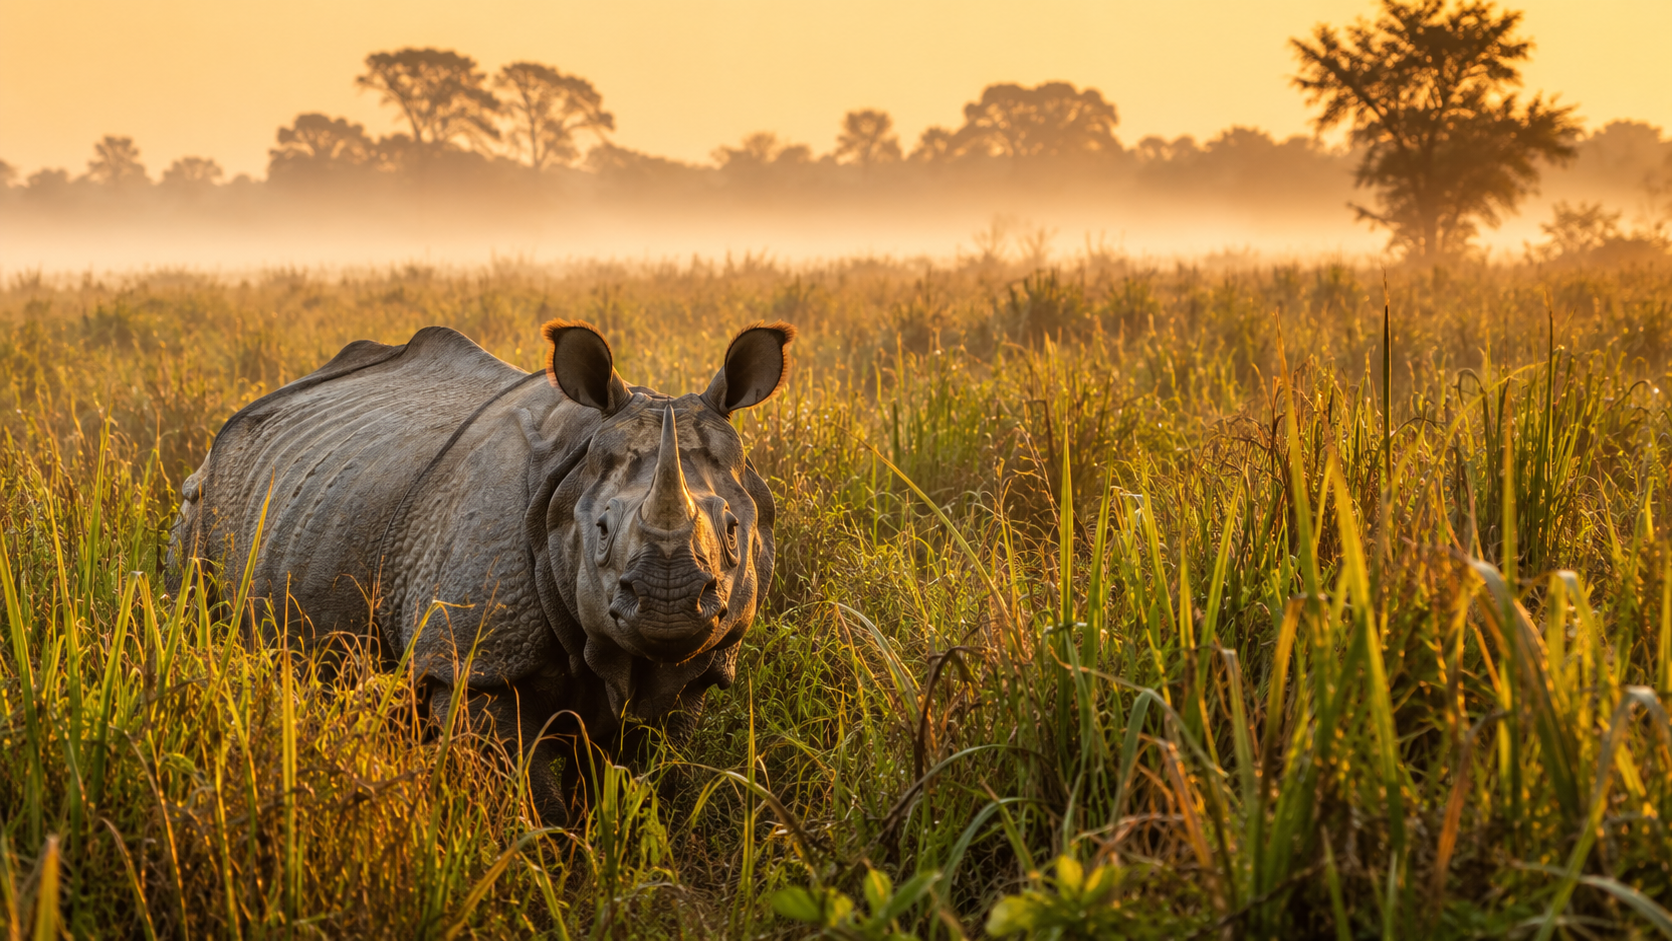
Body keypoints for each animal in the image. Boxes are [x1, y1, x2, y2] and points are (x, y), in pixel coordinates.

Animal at [168, 319, 795, 816]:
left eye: (733, 532)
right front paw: (549, 874)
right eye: (601, 530)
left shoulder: (693, 669)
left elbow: (641, 784)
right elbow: (531, 800)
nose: (670, 606)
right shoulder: (473, 654)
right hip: (202, 505)